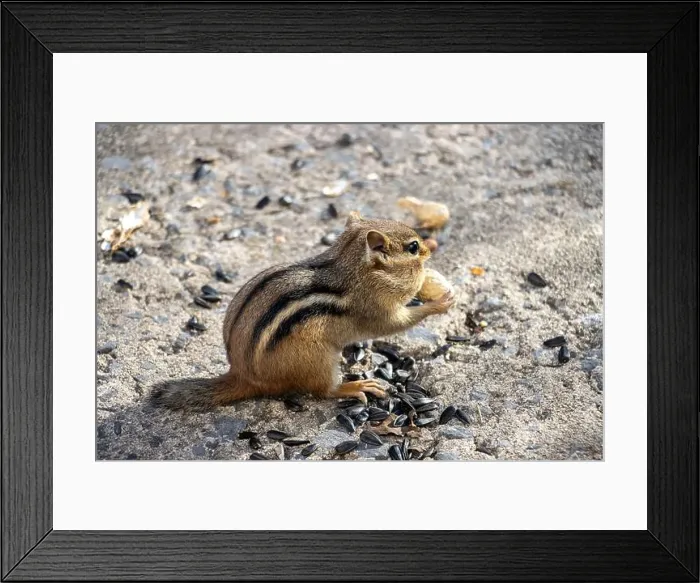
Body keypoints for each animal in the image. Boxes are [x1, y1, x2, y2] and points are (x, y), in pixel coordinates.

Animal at [149, 211, 455, 412]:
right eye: (413, 247)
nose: (429, 250)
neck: (351, 268)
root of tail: (242, 375)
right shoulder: (375, 309)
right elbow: (396, 323)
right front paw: (441, 301)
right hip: (320, 360)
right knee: (323, 391)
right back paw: (355, 387)